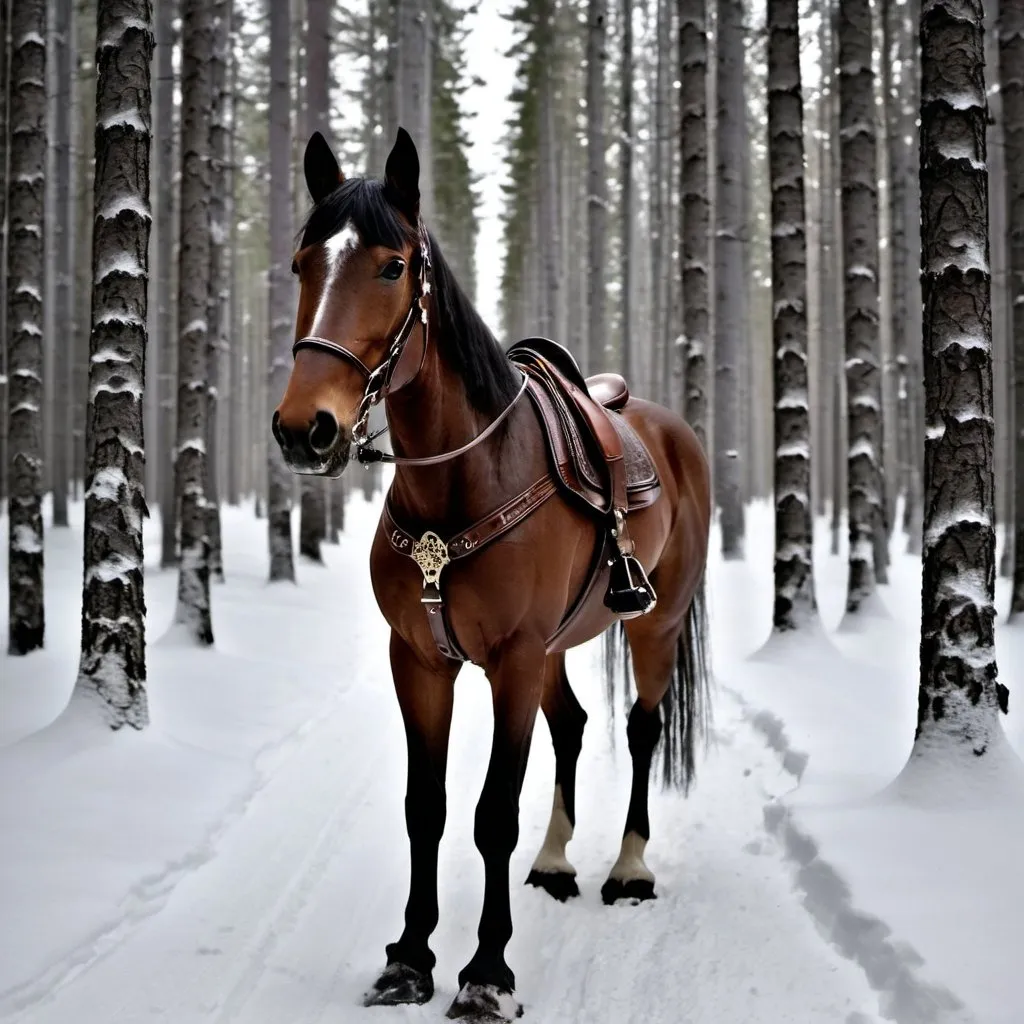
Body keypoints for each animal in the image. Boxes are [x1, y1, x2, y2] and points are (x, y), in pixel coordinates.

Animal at [272, 130, 712, 1024]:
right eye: (303, 264)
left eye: (392, 266)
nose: (307, 428)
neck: (463, 481)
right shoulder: (421, 661)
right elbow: (427, 808)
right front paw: (410, 957)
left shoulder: (510, 660)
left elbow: (492, 814)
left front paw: (486, 971)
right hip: (555, 648)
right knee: (573, 726)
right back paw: (555, 862)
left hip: (651, 624)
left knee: (640, 729)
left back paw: (629, 869)